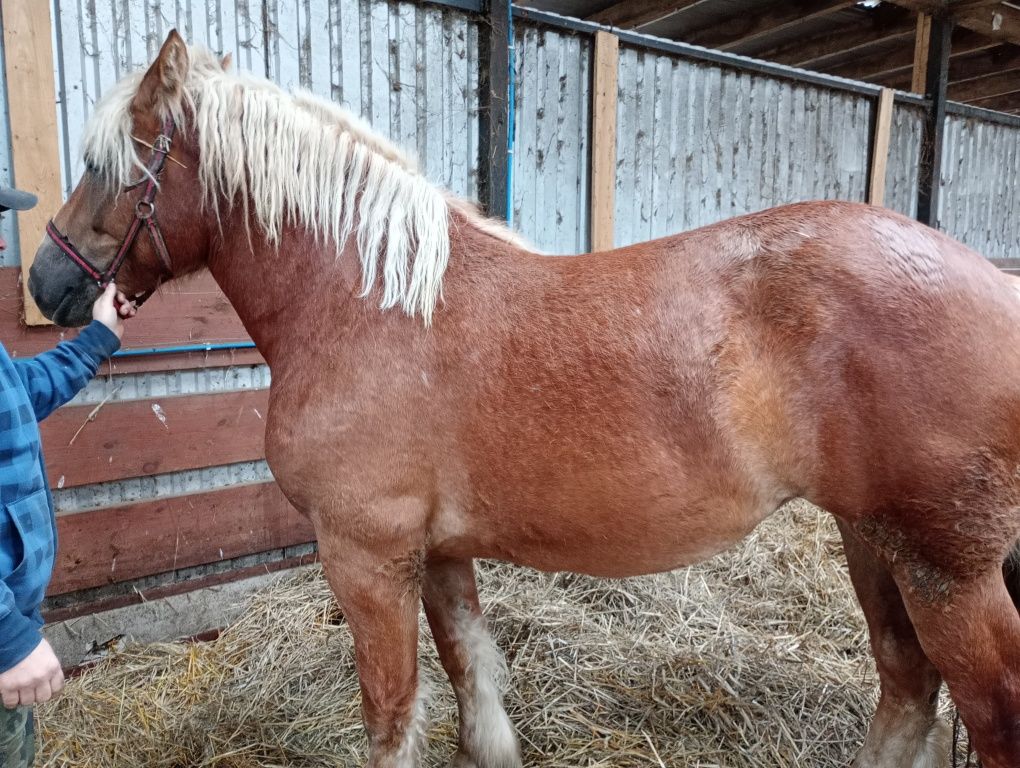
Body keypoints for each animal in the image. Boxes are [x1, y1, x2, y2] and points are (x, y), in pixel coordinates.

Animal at [27, 34, 1015, 766]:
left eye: (108, 165)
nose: (46, 283)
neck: (369, 303)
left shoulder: (365, 560)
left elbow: (393, 717)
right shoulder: (437, 554)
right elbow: (474, 686)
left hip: (946, 571)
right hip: (873, 542)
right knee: (907, 688)